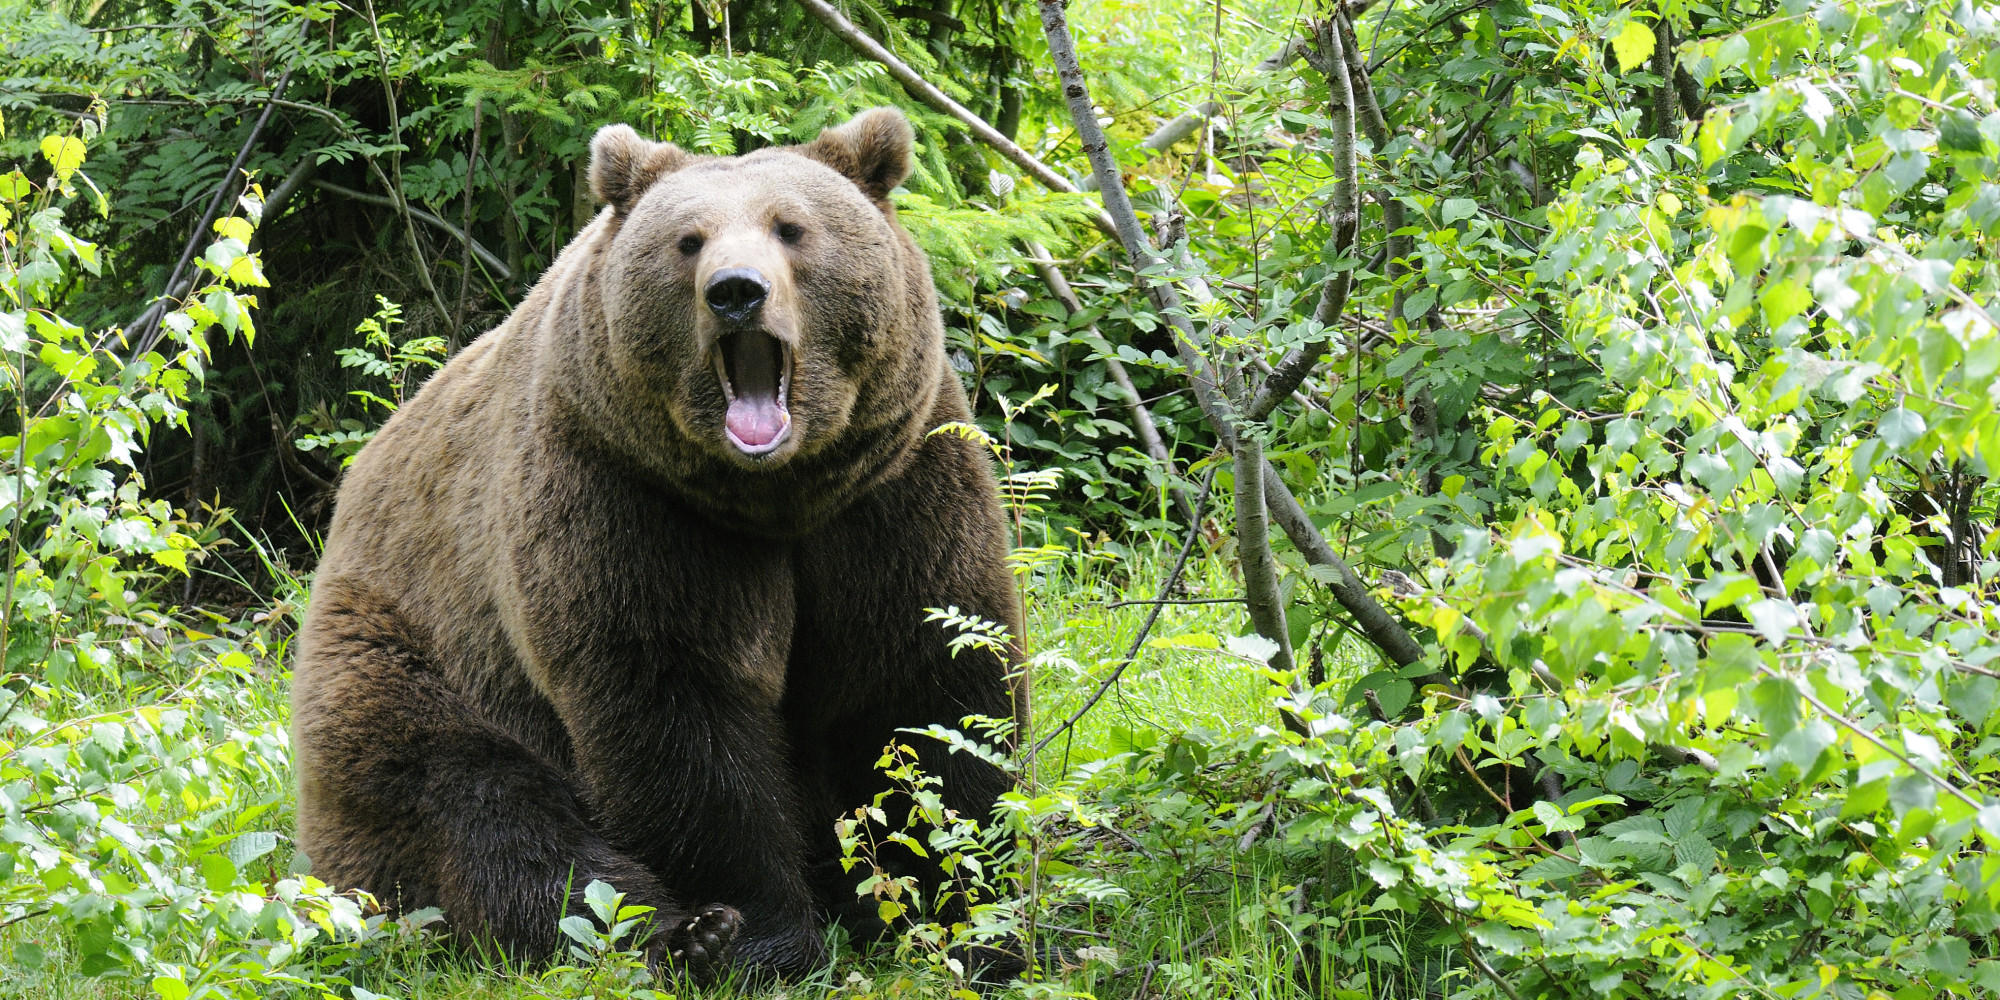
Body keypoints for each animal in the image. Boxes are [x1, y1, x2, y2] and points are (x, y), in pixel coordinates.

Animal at [290, 107, 1024, 976]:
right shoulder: (627, 495)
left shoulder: (892, 489)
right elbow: (677, 711)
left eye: (791, 227)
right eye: (688, 240)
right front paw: (756, 934)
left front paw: (962, 913)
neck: (776, 496)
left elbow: (929, 686)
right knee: (482, 812)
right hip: (410, 656)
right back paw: (678, 932)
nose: (736, 292)